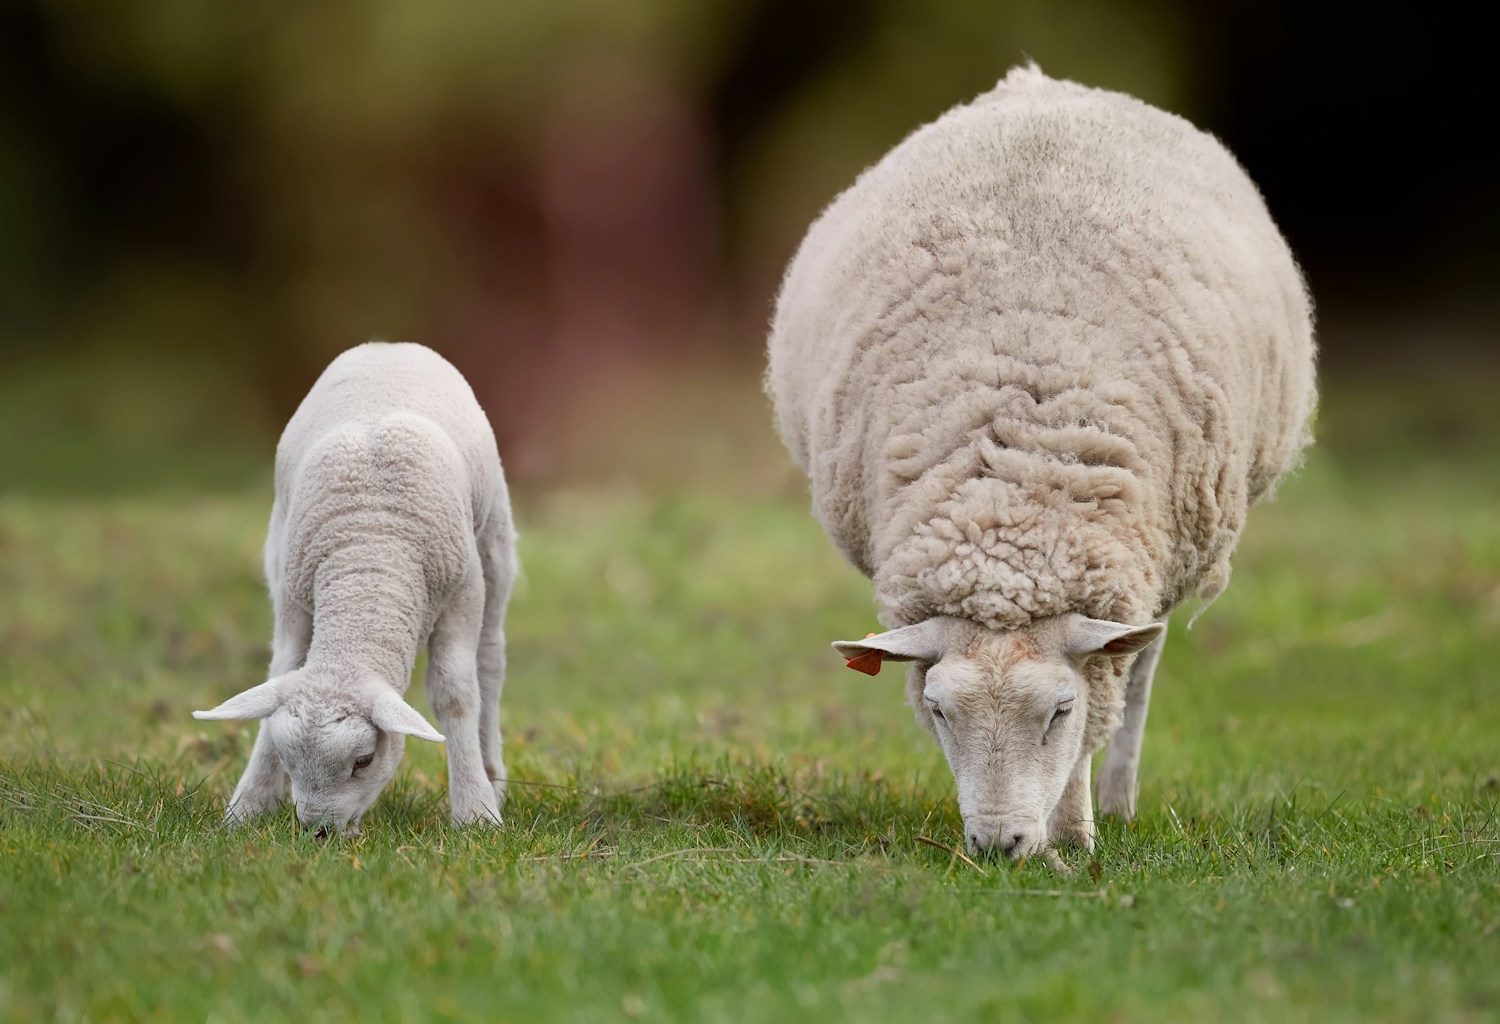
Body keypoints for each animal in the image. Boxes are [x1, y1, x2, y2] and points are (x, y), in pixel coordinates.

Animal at [194, 342, 516, 835]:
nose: (319, 831)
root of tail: (387, 345)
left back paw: (491, 774)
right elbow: (281, 670)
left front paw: (475, 812)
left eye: (363, 760)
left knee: (490, 663)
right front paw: (250, 804)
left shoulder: (462, 592)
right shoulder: (292, 597)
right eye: (288, 759)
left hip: (493, 545)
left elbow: (456, 693)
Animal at [767, 65, 1316, 860]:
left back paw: (1116, 803)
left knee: (1140, 671)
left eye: (1058, 709)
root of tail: (1038, 81)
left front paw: (1077, 834)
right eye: (939, 710)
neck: (1014, 502)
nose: (999, 847)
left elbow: (1098, 716)